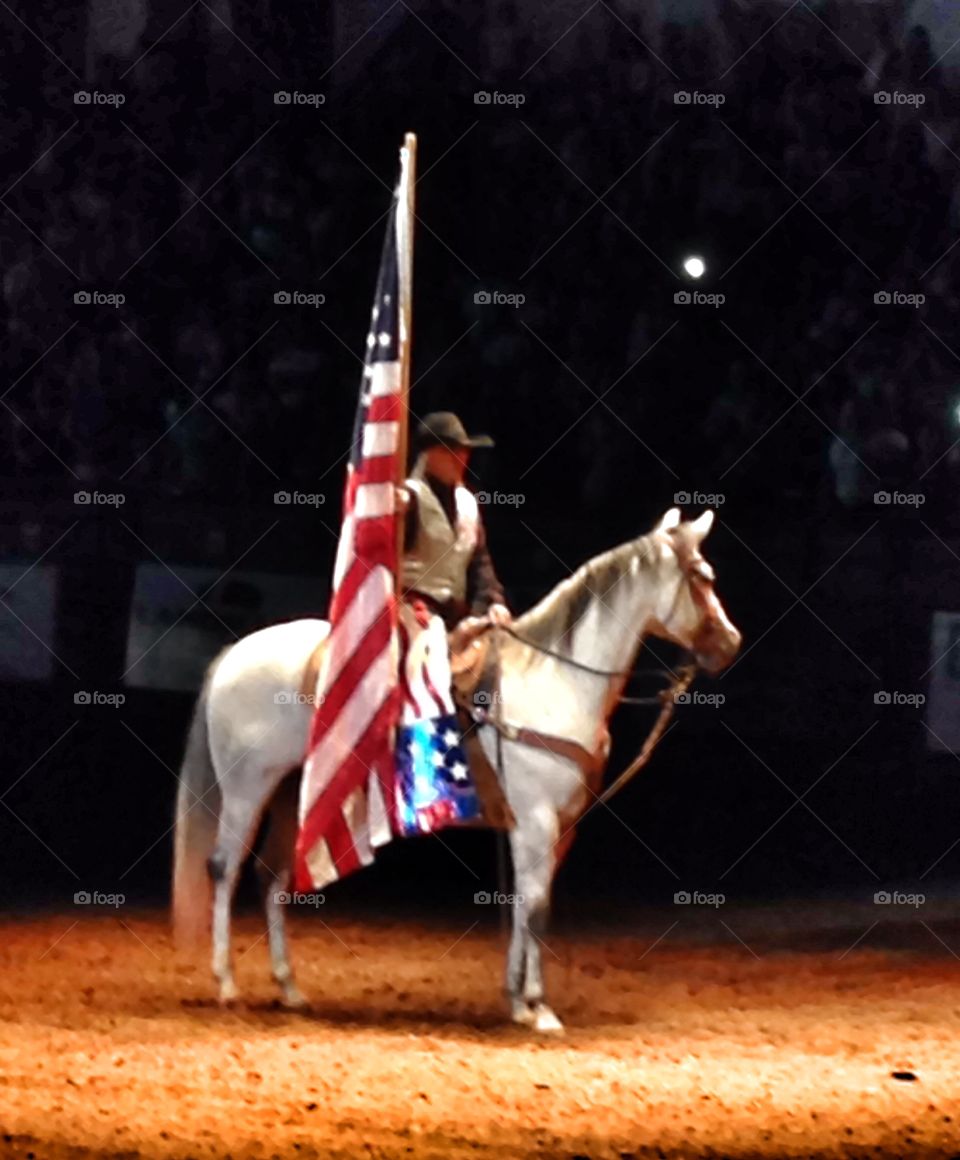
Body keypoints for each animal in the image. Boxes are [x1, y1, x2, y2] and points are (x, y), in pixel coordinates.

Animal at [173, 508, 742, 1034]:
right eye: (702, 576)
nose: (731, 644)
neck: (556, 679)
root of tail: (234, 653)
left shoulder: (559, 827)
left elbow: (526, 904)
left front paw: (517, 1001)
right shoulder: (537, 821)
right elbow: (536, 907)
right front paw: (539, 1008)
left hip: (295, 793)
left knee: (271, 876)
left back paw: (289, 988)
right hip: (248, 789)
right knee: (224, 868)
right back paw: (226, 983)